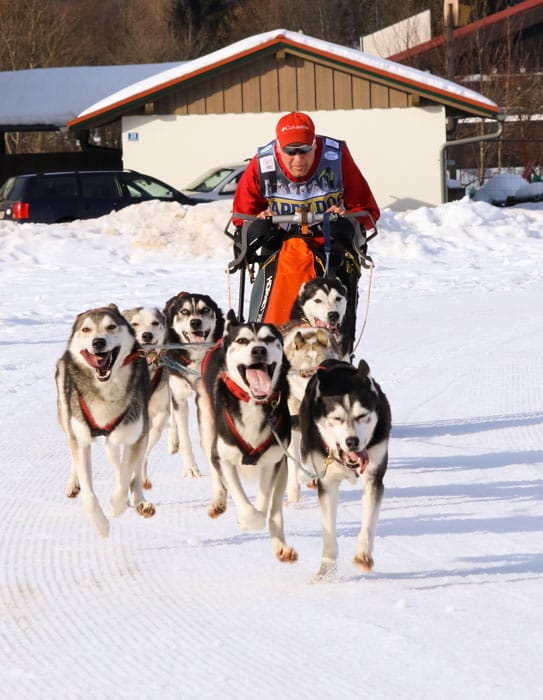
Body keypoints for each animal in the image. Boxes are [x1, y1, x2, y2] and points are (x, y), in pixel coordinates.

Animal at [55, 304, 155, 540]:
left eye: (111, 326)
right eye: (86, 329)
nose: (98, 342)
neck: (105, 390)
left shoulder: (134, 437)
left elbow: (126, 476)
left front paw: (117, 505)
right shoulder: (81, 439)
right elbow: (88, 490)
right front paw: (99, 523)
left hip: (139, 432)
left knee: (133, 471)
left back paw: (140, 501)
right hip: (67, 418)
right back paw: (73, 484)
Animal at [165, 292, 226, 478]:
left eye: (205, 309)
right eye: (184, 311)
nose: (195, 322)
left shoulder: (204, 395)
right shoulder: (179, 396)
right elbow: (185, 438)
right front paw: (190, 468)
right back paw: (172, 440)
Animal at [201, 312, 298, 564]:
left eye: (269, 339)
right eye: (243, 341)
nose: (258, 350)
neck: (254, 402)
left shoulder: (273, 461)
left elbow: (263, 504)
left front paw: (255, 518)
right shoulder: (224, 458)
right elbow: (241, 498)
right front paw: (246, 520)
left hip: (283, 466)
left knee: (275, 511)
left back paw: (281, 546)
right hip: (207, 428)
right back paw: (219, 500)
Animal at [298, 358, 392, 576]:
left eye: (362, 415)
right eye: (336, 418)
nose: (352, 441)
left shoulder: (374, 479)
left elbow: (368, 523)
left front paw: (363, 556)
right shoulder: (328, 483)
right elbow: (328, 532)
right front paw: (326, 571)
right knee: (302, 472)